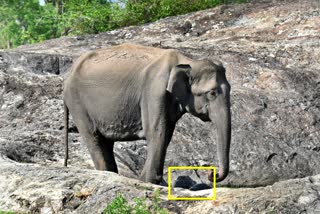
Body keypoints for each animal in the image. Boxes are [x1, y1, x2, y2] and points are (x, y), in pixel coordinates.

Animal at [63, 43, 230, 184]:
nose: (212, 174)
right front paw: (150, 181)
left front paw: (147, 181)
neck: (188, 61)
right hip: (78, 103)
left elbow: (167, 134)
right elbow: (157, 132)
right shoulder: (154, 91)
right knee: (94, 137)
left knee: (106, 142)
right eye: (212, 93)